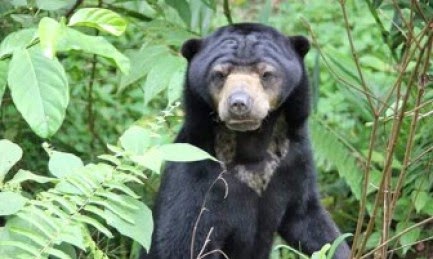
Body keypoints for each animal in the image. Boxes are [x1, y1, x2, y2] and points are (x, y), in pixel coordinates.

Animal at [143, 23, 350, 258]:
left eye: (266, 74)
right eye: (220, 74)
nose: (239, 103)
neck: (251, 141)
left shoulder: (295, 161)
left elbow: (309, 219)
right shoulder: (195, 174)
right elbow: (180, 240)